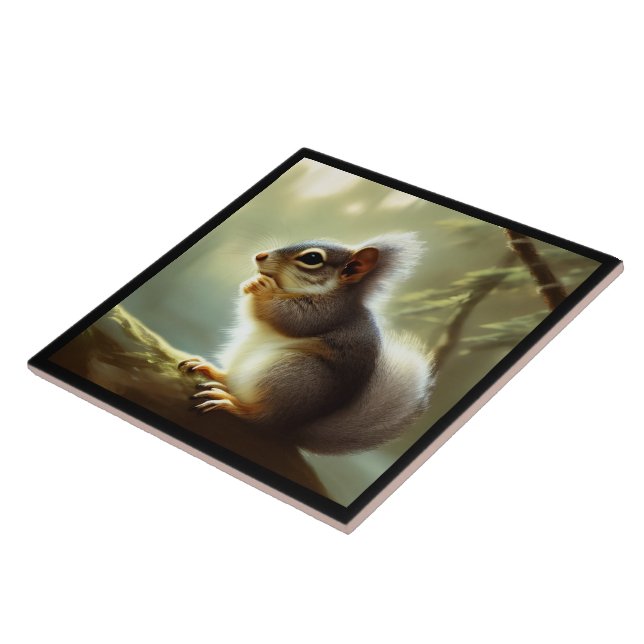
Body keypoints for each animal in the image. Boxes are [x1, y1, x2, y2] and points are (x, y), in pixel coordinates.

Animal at [178, 232, 434, 454]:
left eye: (312, 258)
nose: (260, 255)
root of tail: (290, 427)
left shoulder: (329, 312)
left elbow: (292, 318)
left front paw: (263, 288)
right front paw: (252, 282)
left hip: (293, 376)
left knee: (261, 417)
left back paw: (233, 404)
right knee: (232, 380)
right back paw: (210, 370)